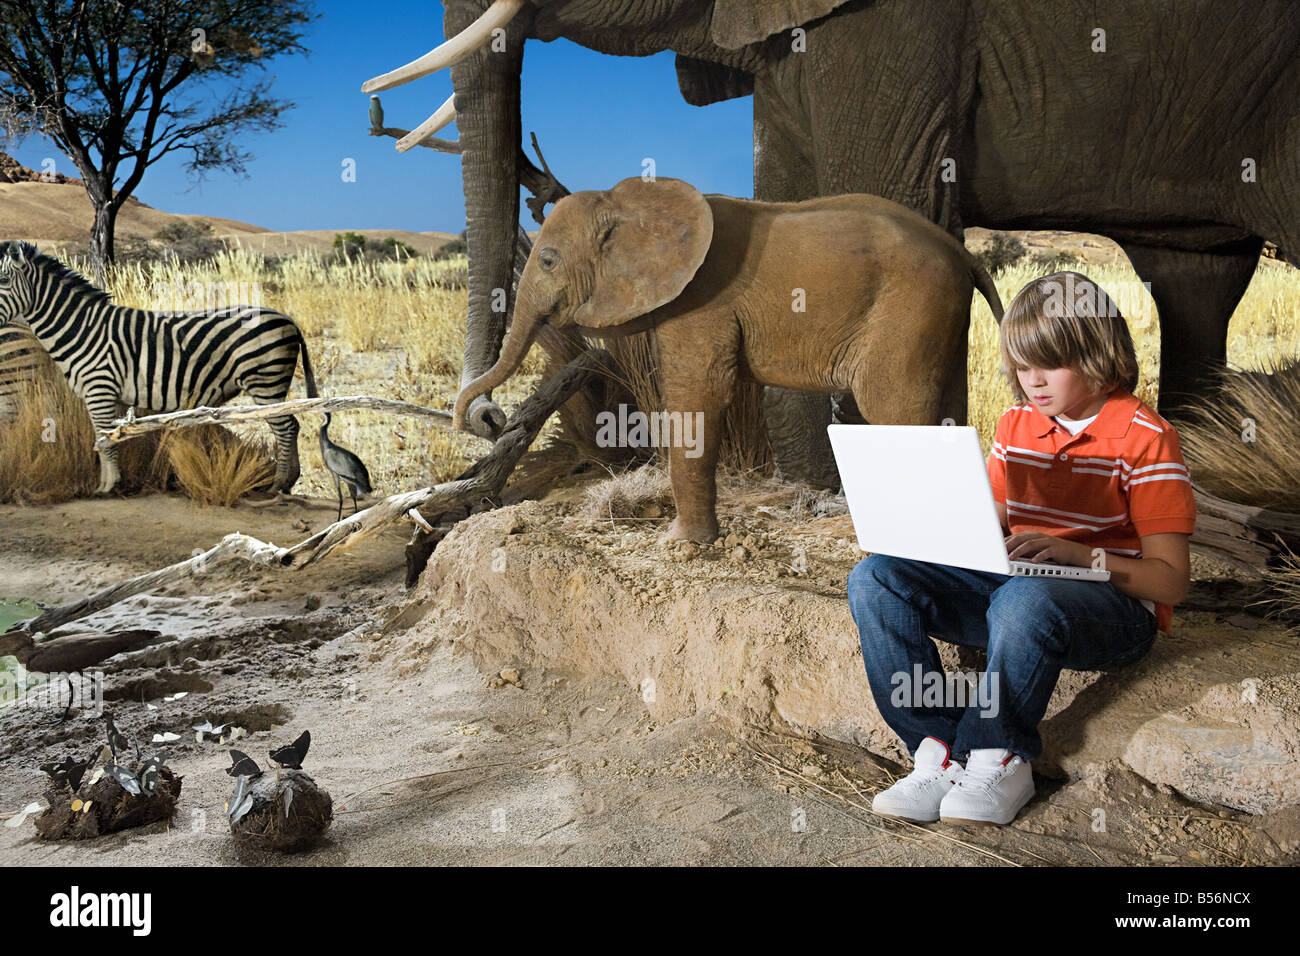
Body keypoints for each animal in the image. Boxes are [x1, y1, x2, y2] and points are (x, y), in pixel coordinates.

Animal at [0, 240, 317, 494]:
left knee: (286, 427)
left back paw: (279, 484)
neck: (83, 328)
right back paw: (288, 482)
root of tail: (288, 319)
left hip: (265, 382)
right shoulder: (99, 394)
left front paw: (108, 486)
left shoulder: (100, 388)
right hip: (269, 383)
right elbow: (104, 437)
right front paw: (108, 483)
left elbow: (104, 439)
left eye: (2, 279)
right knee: (292, 425)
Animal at [452, 175, 998, 541]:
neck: (631, 201)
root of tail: (962, 254)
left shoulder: (703, 299)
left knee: (891, 406)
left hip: (910, 303)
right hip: (940, 312)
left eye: (547, 260)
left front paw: (681, 544)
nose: (486, 419)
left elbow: (702, 391)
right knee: (949, 405)